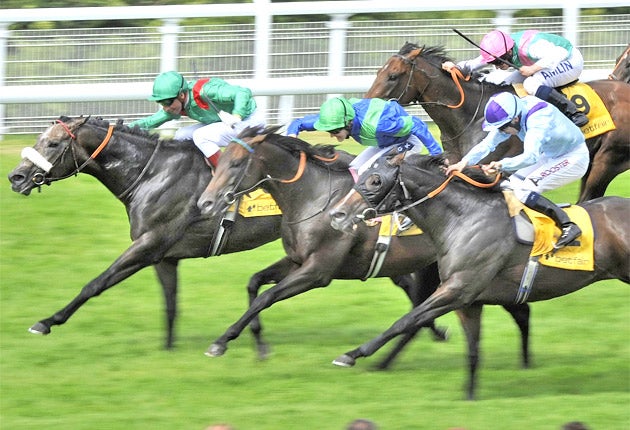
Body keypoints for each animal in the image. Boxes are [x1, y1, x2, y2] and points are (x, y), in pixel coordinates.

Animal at [7, 116, 453, 362]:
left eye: (52, 142)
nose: (15, 176)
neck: (151, 173)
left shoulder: (149, 244)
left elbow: (95, 283)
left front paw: (46, 322)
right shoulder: (165, 256)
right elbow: (171, 304)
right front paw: (169, 349)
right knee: (410, 283)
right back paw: (430, 331)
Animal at [196, 125, 532, 369]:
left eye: (236, 163)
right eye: (219, 160)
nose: (205, 203)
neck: (315, 198)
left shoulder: (318, 270)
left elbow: (267, 297)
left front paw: (220, 342)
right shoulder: (297, 260)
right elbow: (254, 284)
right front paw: (257, 344)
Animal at [328, 152, 630, 399]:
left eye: (375, 180)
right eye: (362, 175)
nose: (337, 214)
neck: (464, 220)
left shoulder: (457, 289)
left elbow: (405, 321)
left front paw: (352, 355)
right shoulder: (469, 301)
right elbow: (472, 349)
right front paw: (470, 396)